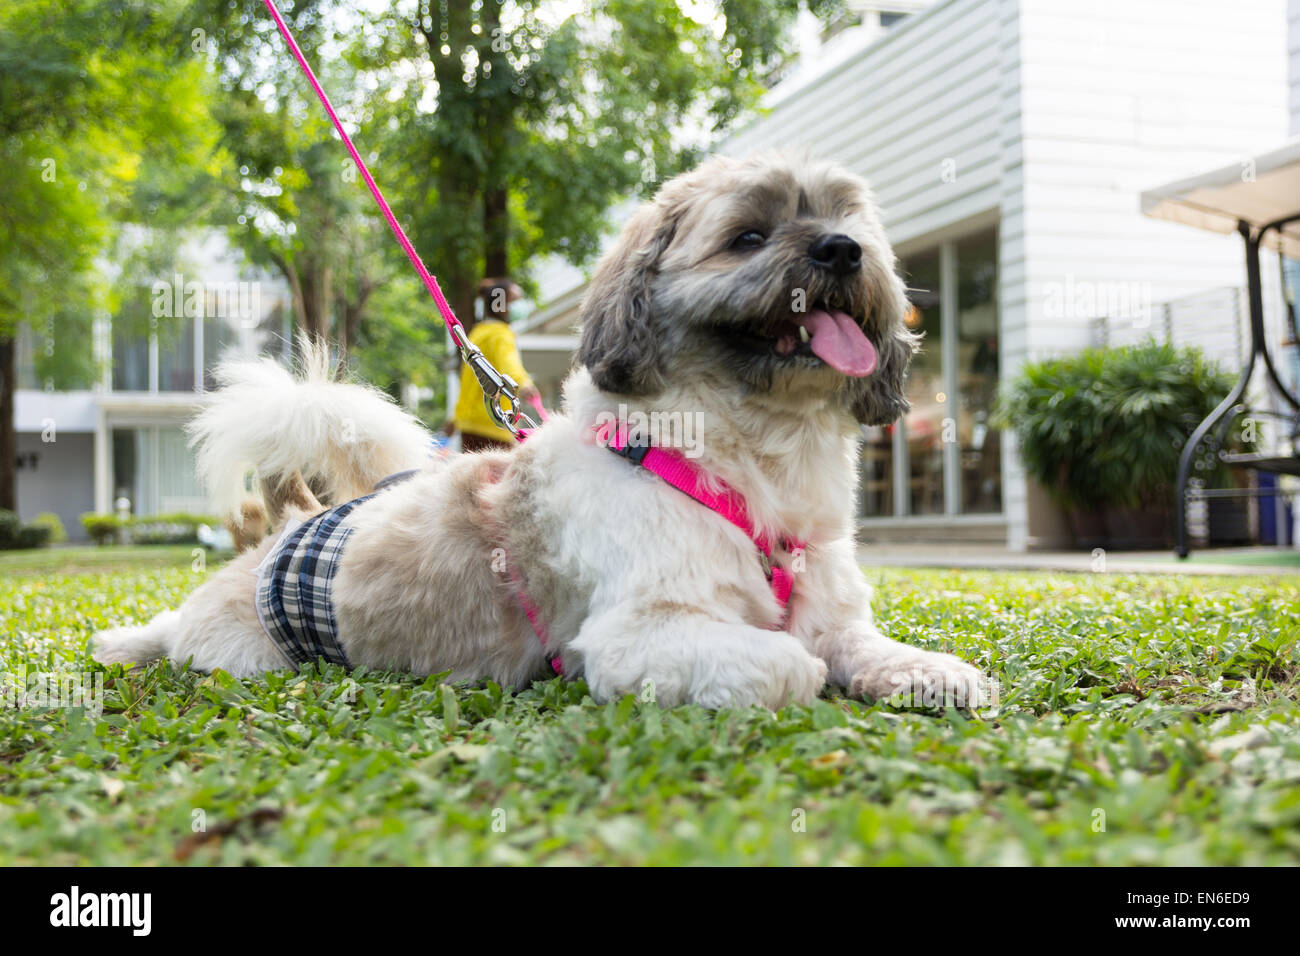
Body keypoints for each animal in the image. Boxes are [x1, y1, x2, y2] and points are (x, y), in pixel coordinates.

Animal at [89, 151, 982, 712]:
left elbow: (858, 647)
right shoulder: (637, 637)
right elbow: (793, 666)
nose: (842, 249)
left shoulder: (833, 615)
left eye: (850, 221)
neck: (752, 457)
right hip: (239, 655)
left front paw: (929, 671)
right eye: (749, 236)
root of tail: (286, 530)